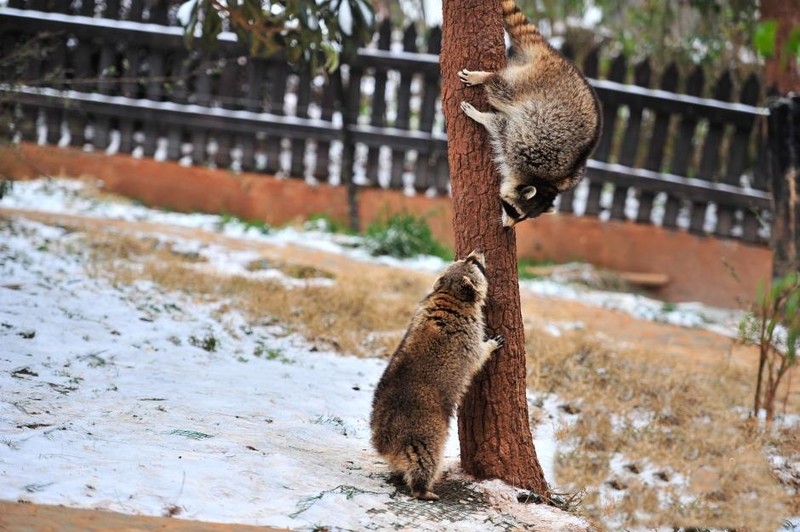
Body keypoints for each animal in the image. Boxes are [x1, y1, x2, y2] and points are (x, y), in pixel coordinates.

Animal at [370, 251, 506, 500]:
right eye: (474, 263)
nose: (476, 251)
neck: (450, 295)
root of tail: (384, 441)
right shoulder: (467, 333)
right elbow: (476, 355)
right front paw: (492, 343)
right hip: (425, 432)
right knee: (424, 459)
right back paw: (424, 489)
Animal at [456, 0, 600, 227]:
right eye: (513, 210)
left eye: (522, 218)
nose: (506, 227)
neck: (543, 182)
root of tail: (555, 58)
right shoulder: (520, 147)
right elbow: (500, 125)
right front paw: (481, 116)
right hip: (532, 83)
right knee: (501, 90)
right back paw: (486, 77)